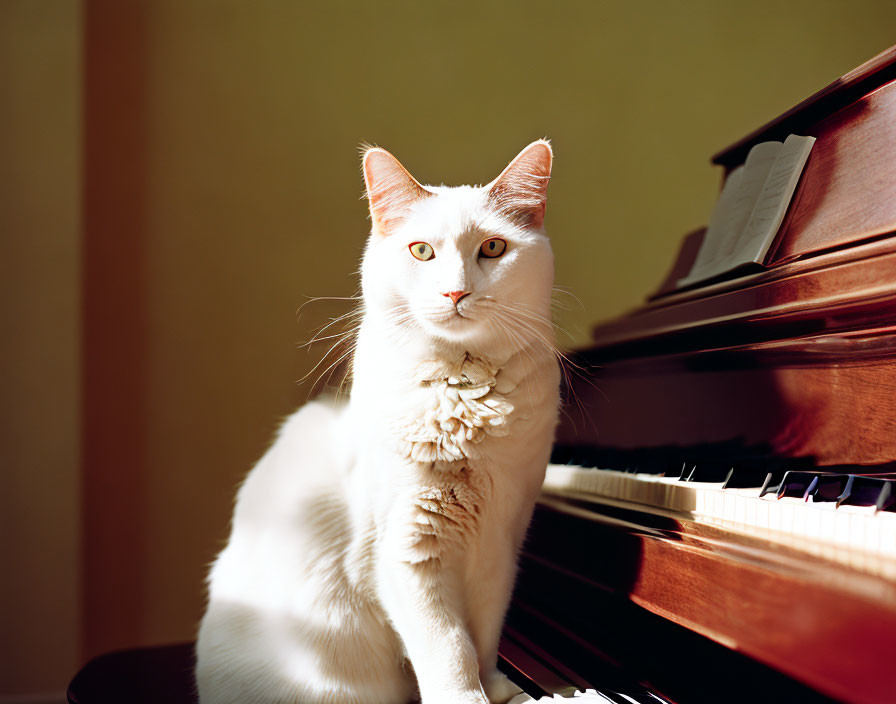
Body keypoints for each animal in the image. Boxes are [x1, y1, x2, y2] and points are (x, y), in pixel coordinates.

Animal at [197, 142, 560, 704]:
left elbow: (485, 636)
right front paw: (468, 697)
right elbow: (450, 649)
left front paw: (504, 691)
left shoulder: (500, 544)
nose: (455, 293)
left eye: (494, 249)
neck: (462, 396)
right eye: (422, 252)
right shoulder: (407, 551)